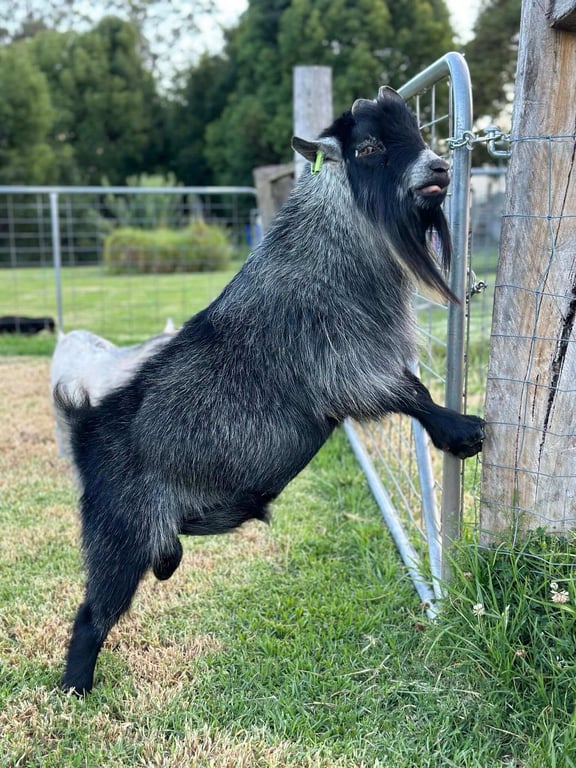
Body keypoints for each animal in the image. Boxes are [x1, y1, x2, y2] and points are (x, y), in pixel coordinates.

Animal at [55, 86, 484, 694]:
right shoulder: (339, 360)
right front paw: (461, 431)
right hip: (120, 532)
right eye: (369, 147)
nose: (438, 168)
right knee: (92, 615)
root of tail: (84, 432)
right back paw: (75, 688)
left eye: (417, 133)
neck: (326, 250)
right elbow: (409, 394)